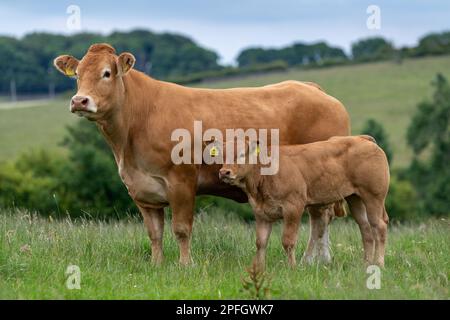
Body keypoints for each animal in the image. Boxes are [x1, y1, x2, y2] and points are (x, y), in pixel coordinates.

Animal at [51, 44, 348, 264]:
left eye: (106, 73)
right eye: (77, 75)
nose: (79, 100)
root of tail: (310, 87)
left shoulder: (181, 181)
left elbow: (181, 229)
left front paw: (185, 265)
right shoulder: (141, 190)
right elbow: (154, 233)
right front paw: (157, 265)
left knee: (321, 217)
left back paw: (314, 260)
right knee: (320, 216)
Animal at [220, 135, 388, 270]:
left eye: (242, 154)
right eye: (223, 156)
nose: (224, 172)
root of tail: (362, 139)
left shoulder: (293, 208)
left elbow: (288, 241)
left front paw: (292, 267)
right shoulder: (261, 214)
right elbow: (261, 242)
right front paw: (258, 269)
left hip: (373, 197)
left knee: (379, 226)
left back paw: (379, 263)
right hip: (355, 199)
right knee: (366, 229)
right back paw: (366, 263)